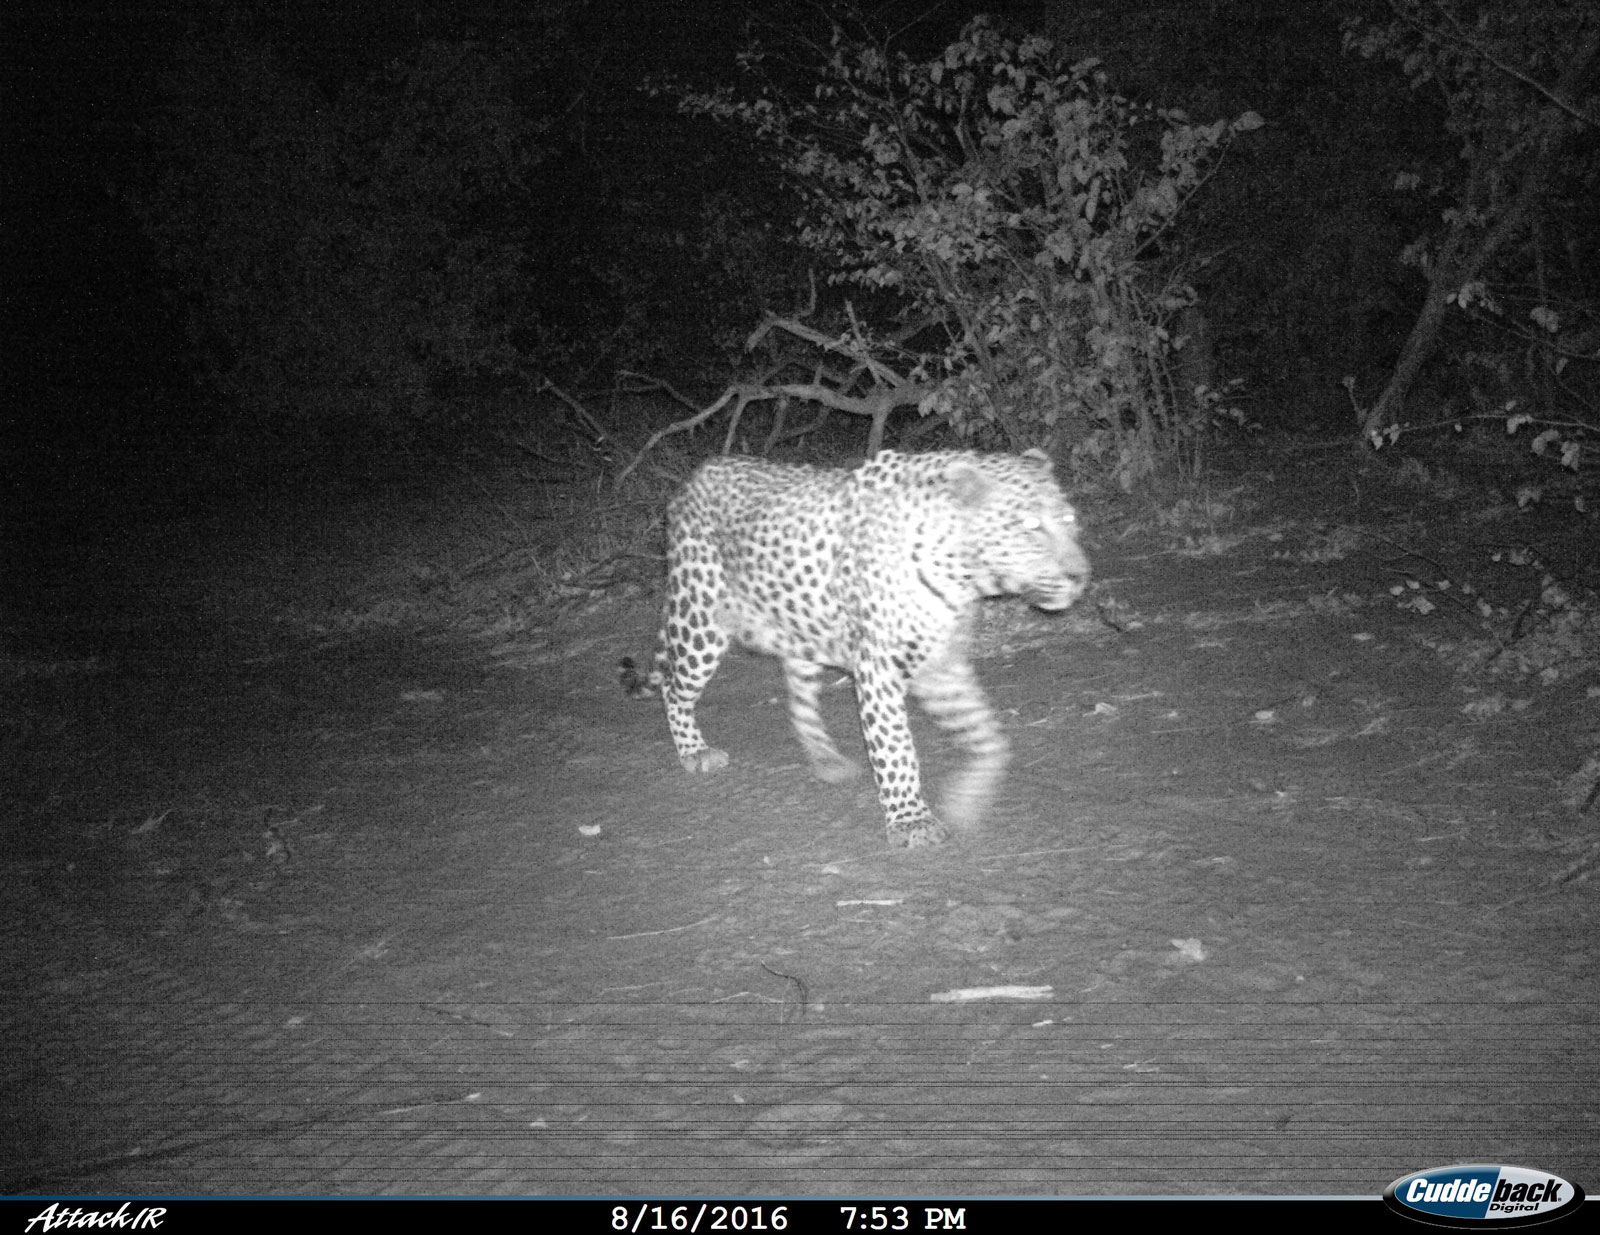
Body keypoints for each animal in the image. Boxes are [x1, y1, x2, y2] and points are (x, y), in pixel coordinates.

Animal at [620, 448, 1091, 848]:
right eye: (1030, 527)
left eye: (1069, 518)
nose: (1080, 576)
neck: (965, 573)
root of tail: (699, 473)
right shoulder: (881, 667)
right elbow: (897, 749)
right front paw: (911, 822)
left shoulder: (941, 665)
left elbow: (988, 734)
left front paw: (966, 800)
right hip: (701, 619)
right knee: (675, 687)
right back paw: (694, 751)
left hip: (800, 622)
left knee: (798, 691)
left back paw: (825, 758)